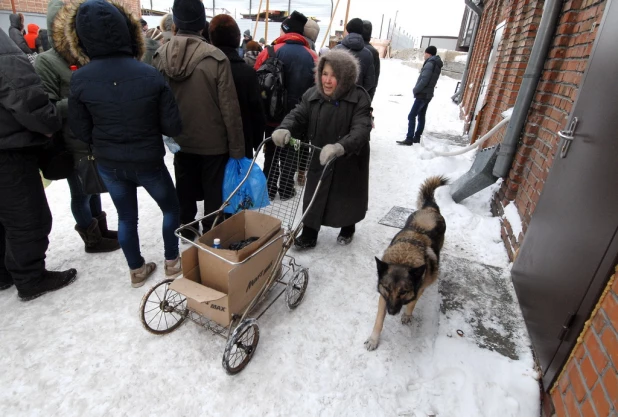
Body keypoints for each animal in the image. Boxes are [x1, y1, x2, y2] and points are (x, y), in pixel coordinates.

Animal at [364, 174, 446, 350]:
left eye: (403, 292)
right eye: (388, 288)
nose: (392, 312)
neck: (403, 260)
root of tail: (430, 209)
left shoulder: (420, 287)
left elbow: (412, 303)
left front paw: (407, 315)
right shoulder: (383, 297)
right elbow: (378, 320)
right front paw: (373, 340)